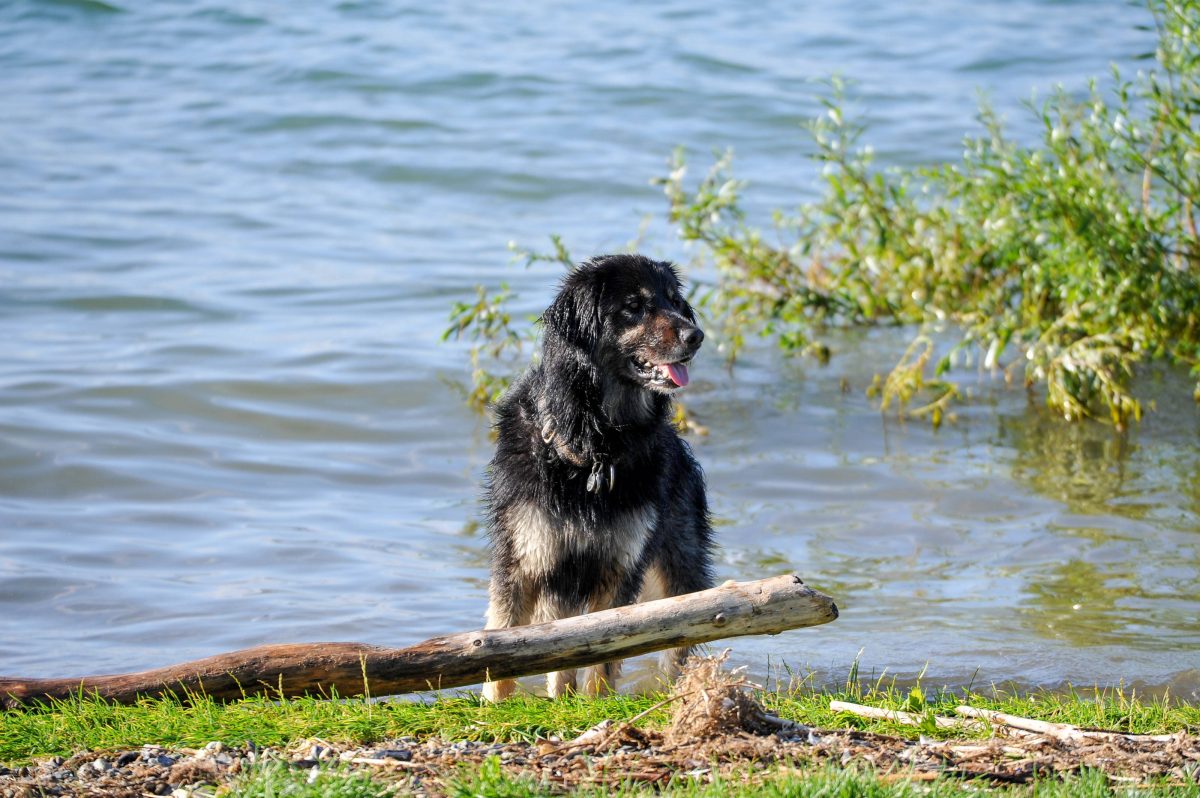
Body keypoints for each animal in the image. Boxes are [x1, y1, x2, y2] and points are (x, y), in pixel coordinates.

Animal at [482, 250, 715, 696]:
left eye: (675, 301)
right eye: (634, 306)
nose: (696, 336)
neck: (594, 449)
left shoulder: (621, 562)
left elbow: (604, 651)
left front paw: (595, 702)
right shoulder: (527, 555)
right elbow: (504, 638)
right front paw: (494, 704)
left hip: (678, 562)